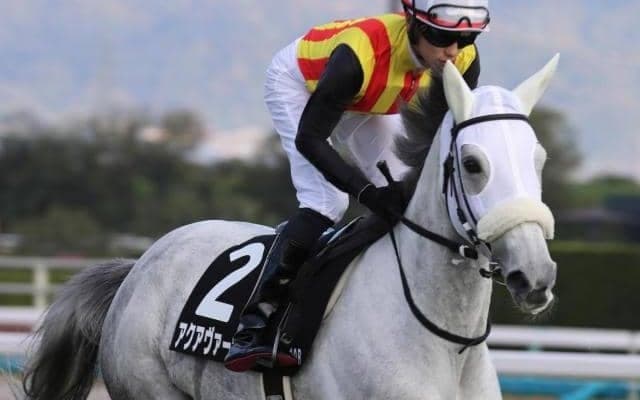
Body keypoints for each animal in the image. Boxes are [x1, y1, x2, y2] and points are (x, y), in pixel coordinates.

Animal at [21, 55, 560, 400]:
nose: (535, 275)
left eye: (538, 159)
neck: (445, 343)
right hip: (147, 387)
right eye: (472, 164)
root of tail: (140, 266)